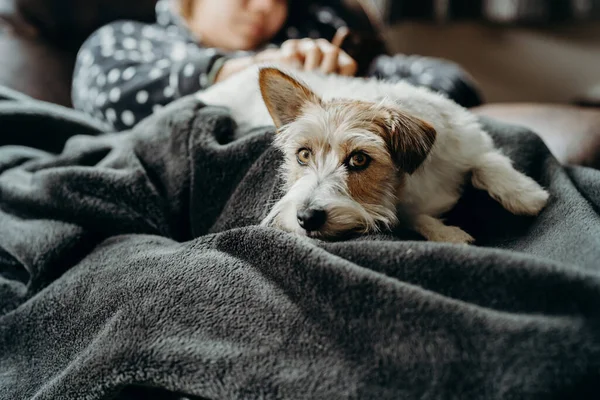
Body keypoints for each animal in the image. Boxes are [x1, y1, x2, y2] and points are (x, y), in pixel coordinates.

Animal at [197, 65, 548, 244]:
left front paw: (525, 194)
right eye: (303, 155)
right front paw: (447, 234)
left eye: (359, 159)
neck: (414, 179)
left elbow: (487, 161)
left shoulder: (467, 138)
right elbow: (413, 216)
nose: (306, 218)